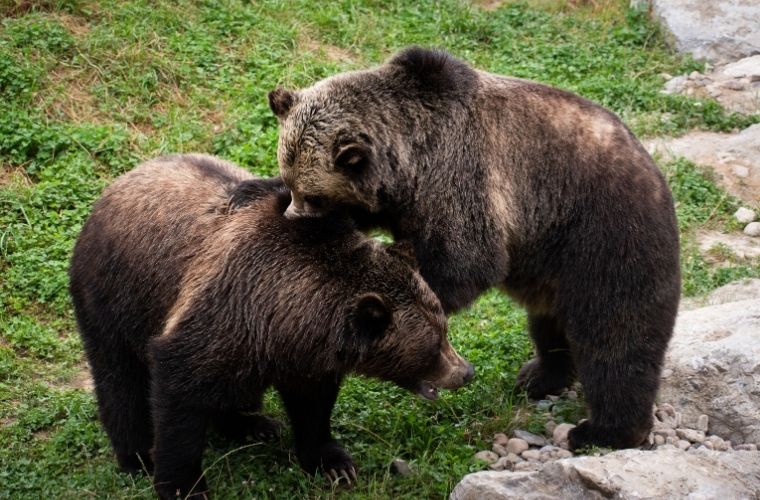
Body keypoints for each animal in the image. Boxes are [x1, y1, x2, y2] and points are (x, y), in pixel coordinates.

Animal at [71, 154, 476, 498]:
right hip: (115, 296)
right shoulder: (222, 311)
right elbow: (178, 395)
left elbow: (312, 405)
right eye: (435, 343)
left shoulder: (301, 352)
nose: (466, 371)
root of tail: (120, 181)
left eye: (444, 328)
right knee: (119, 379)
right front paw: (183, 485)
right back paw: (137, 456)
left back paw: (253, 424)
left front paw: (332, 462)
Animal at [268, 47, 684, 452]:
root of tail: (660, 180)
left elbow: (466, 262)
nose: (293, 217)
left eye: (314, 195)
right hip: (553, 267)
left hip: (603, 241)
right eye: (290, 180)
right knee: (549, 326)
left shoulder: (461, 177)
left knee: (615, 340)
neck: (412, 157)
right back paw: (539, 376)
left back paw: (602, 431)